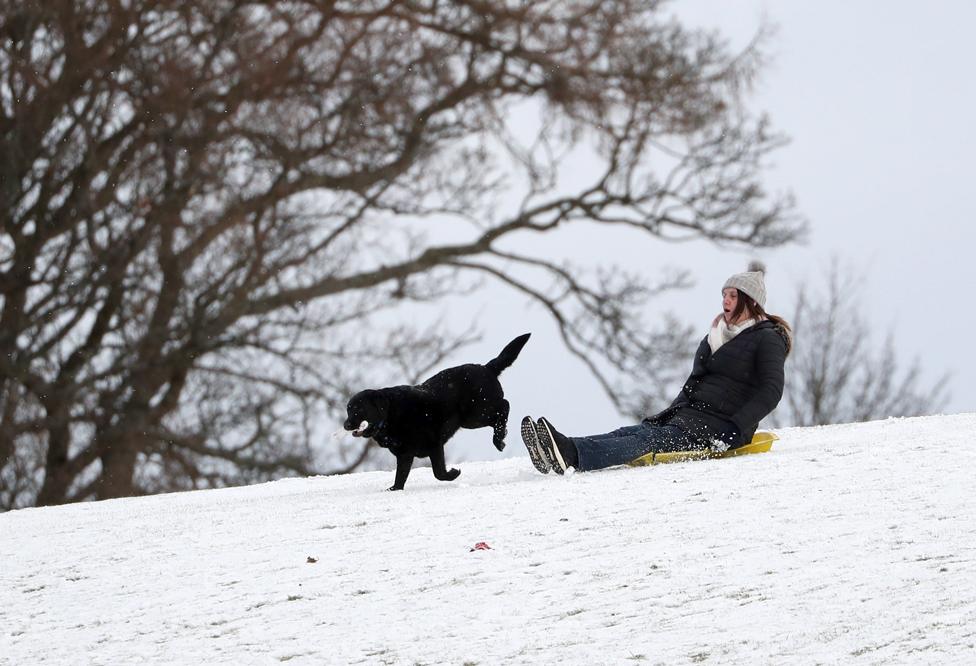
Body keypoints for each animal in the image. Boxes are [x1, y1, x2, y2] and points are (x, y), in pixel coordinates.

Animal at [342, 334, 528, 490]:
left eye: (359, 408)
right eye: (348, 409)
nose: (346, 425)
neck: (391, 415)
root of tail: (486, 367)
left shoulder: (434, 445)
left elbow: (439, 473)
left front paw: (453, 473)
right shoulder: (404, 455)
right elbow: (401, 477)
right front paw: (394, 489)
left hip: (476, 413)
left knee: (505, 406)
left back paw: (499, 438)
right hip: (471, 420)